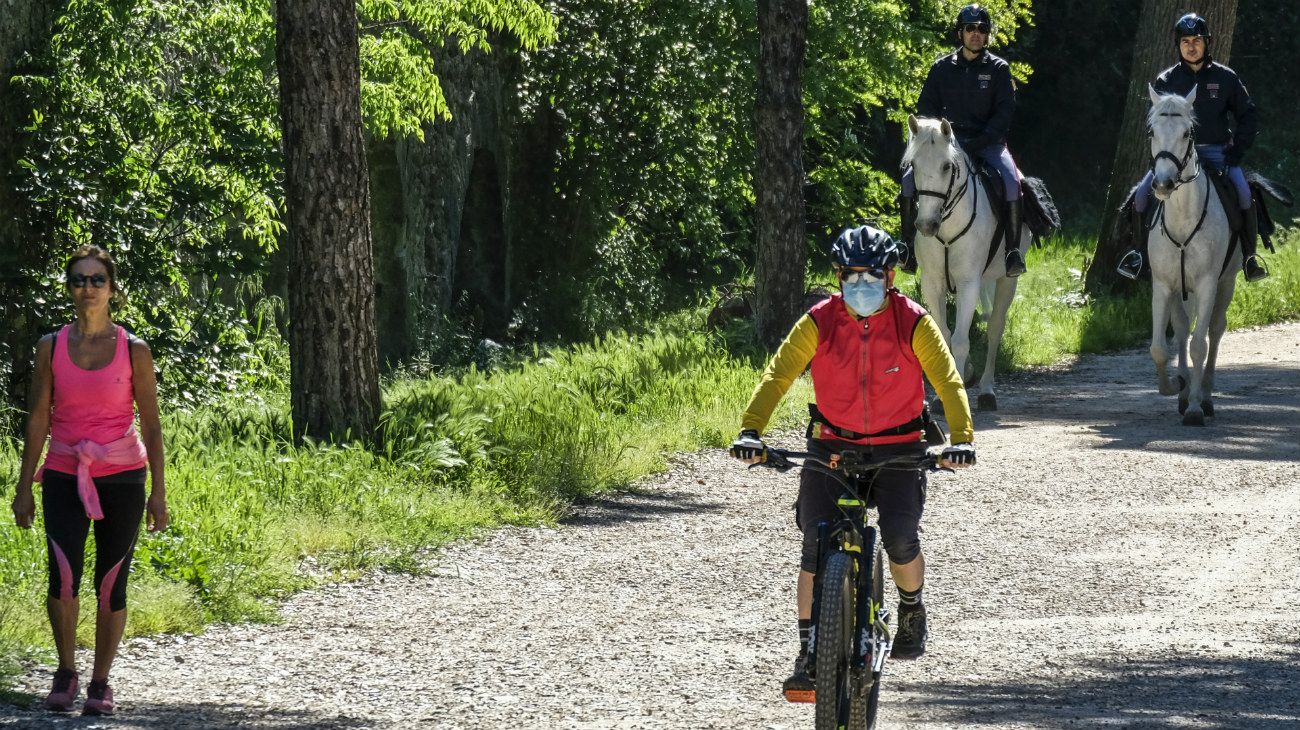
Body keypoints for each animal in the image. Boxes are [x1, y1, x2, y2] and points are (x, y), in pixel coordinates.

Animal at [904, 114, 1024, 410]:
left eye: (947, 166)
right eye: (914, 165)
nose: (926, 225)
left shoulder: (970, 283)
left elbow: (960, 341)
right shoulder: (933, 283)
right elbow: (945, 336)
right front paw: (946, 391)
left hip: (1007, 281)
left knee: (994, 329)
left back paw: (986, 391)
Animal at [1149, 86, 1237, 426]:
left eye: (1187, 133)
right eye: (1152, 131)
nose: (1163, 183)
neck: (1183, 217)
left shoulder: (1208, 284)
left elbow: (1201, 344)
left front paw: (1197, 408)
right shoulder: (1162, 285)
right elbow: (1160, 348)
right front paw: (1176, 386)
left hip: (1227, 283)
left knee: (1214, 330)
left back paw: (1206, 397)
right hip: (1179, 291)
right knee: (1183, 329)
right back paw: (1186, 392)